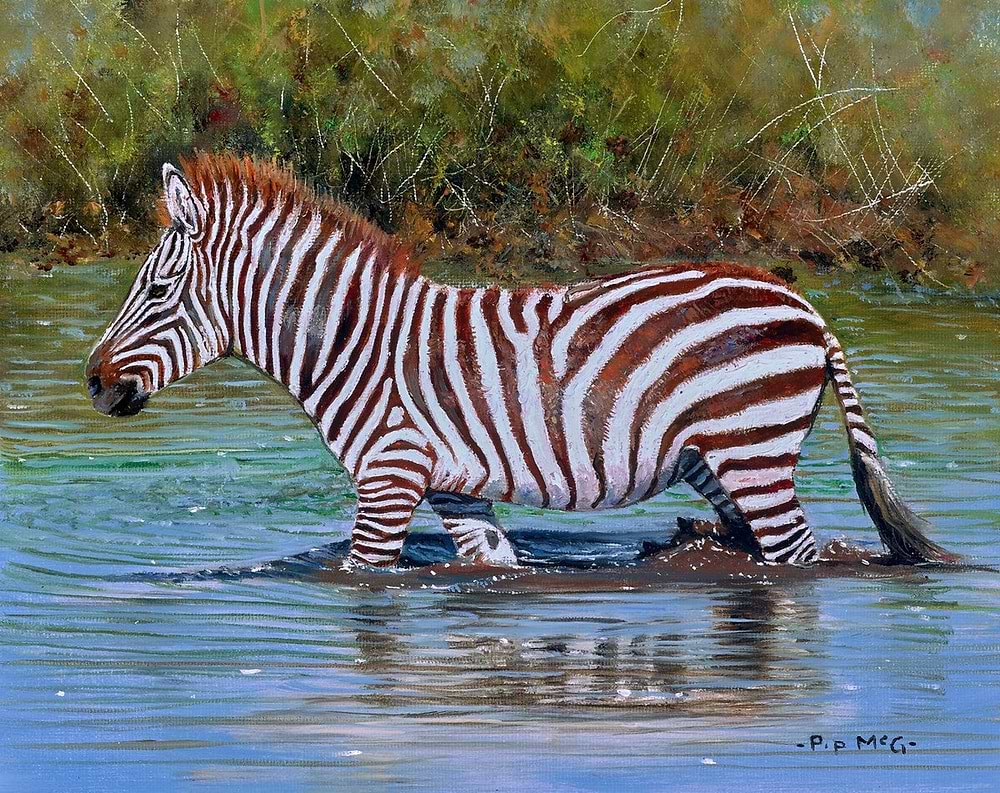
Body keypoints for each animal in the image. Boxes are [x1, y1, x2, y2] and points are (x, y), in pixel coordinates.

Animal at [86, 155, 953, 569]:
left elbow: (363, 578)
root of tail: (810, 311)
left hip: (753, 449)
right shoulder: (454, 486)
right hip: (720, 460)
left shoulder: (389, 474)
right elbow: (491, 565)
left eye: (157, 289)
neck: (351, 345)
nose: (92, 381)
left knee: (798, 558)